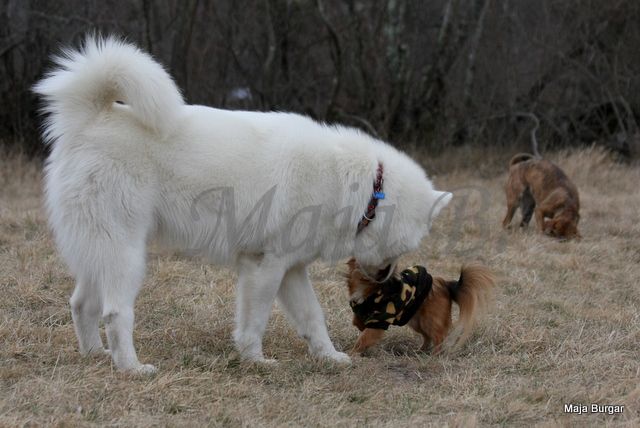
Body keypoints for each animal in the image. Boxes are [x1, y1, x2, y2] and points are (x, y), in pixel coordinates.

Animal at [33, 36, 450, 372]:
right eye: (405, 247)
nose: (385, 278)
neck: (366, 190)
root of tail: (91, 118)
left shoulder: (292, 270)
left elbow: (313, 319)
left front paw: (330, 357)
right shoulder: (265, 268)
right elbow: (255, 322)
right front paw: (256, 361)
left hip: (98, 250)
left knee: (81, 304)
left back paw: (95, 355)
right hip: (126, 255)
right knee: (115, 312)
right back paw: (132, 368)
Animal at [344, 260, 496, 354]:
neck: (368, 289)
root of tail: (446, 285)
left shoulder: (380, 321)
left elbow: (363, 338)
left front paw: (351, 353)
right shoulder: (361, 312)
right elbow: (357, 322)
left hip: (429, 320)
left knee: (439, 337)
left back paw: (434, 355)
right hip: (416, 320)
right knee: (428, 338)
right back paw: (420, 351)